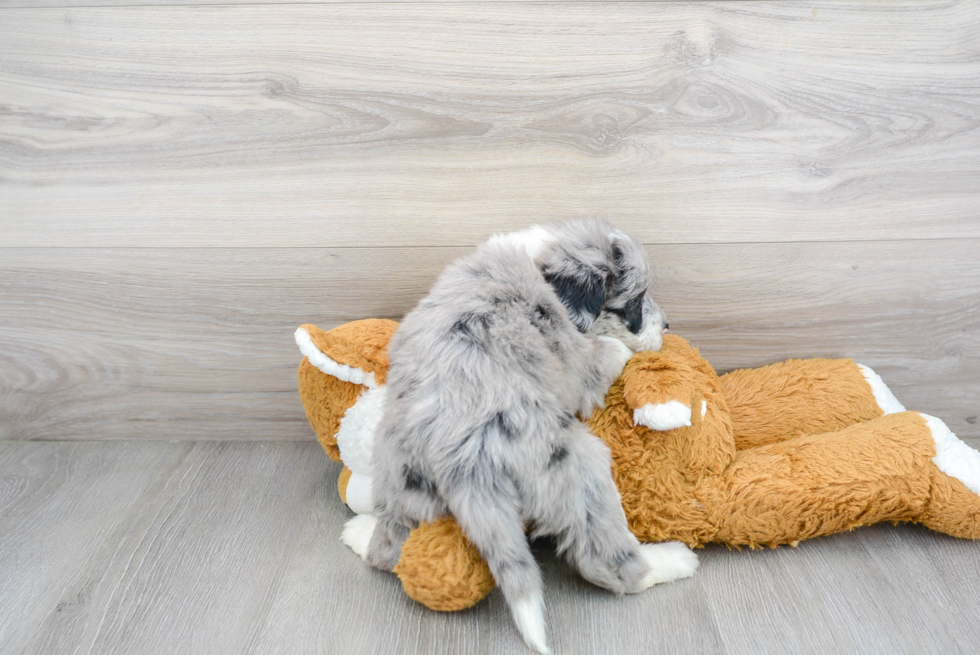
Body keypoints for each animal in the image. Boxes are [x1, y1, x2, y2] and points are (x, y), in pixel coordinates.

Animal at [342, 218, 696, 652]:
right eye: (634, 302)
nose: (668, 325)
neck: (537, 262)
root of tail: (464, 461)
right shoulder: (579, 364)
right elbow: (609, 349)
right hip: (583, 468)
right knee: (608, 563)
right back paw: (672, 559)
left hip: (401, 480)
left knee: (389, 547)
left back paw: (361, 532)